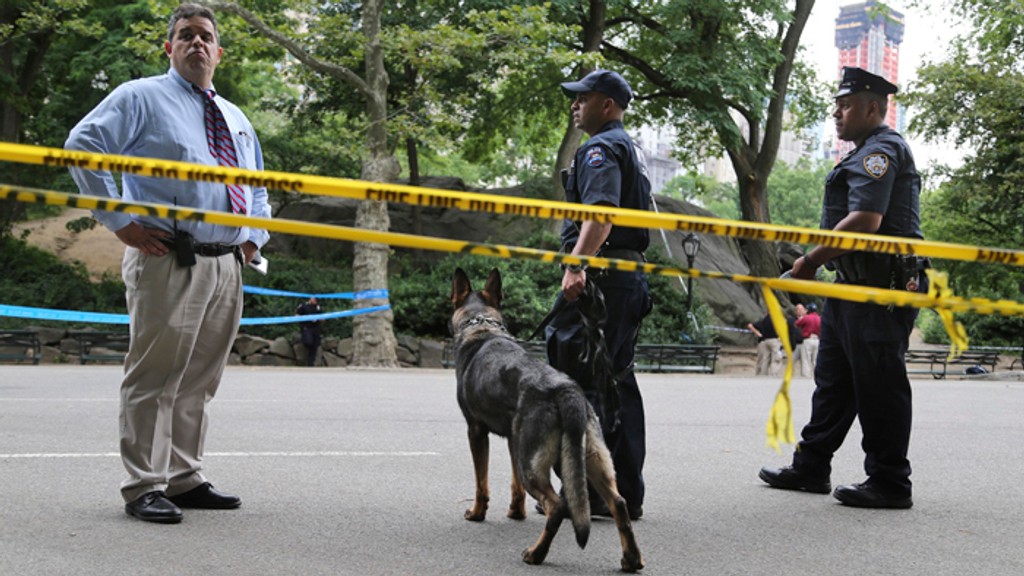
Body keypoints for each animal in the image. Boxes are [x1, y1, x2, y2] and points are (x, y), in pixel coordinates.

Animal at [450, 267, 644, 572]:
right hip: (588, 459)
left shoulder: (476, 432)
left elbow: (481, 482)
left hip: (535, 465)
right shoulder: (513, 440)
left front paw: (478, 513)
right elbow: (515, 486)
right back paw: (631, 558)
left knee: (558, 506)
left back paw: (536, 553)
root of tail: (567, 390)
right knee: (619, 503)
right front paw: (516, 512)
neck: (481, 327)